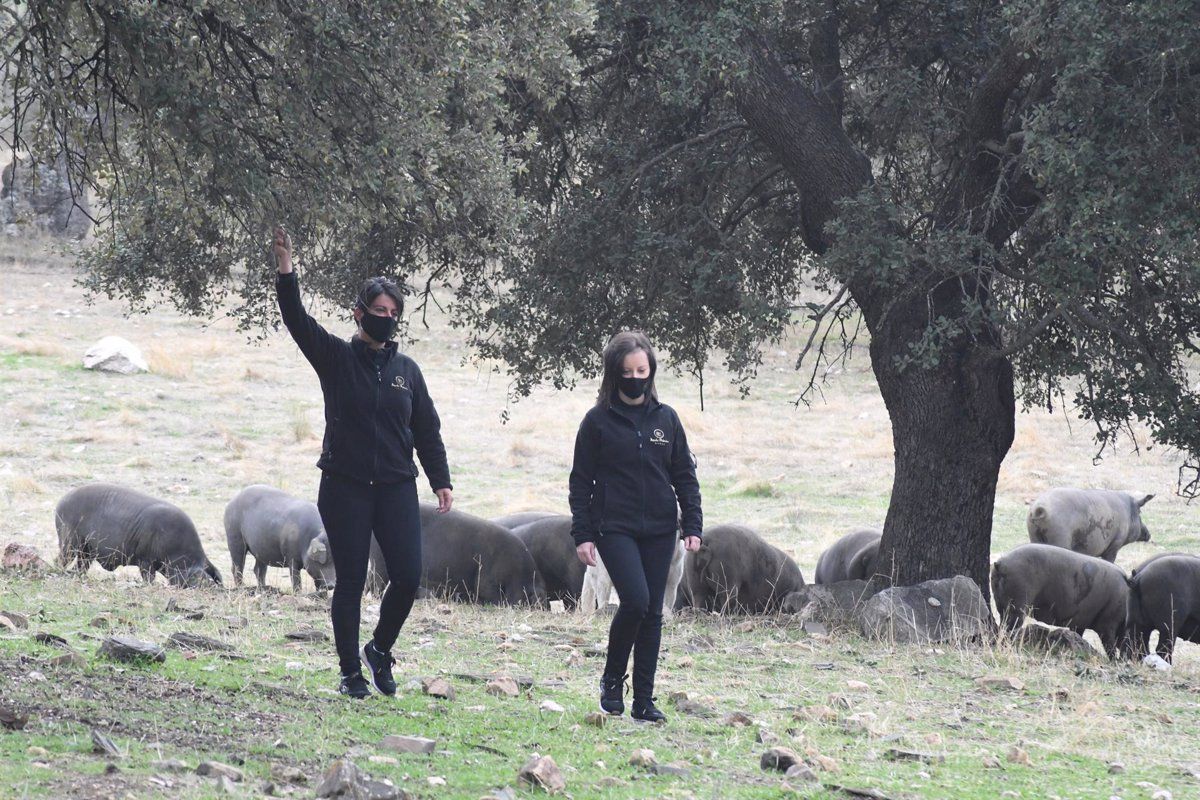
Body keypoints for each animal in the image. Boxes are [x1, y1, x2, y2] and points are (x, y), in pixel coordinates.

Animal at [54, 482, 224, 587]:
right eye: (197, 576)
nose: (211, 585)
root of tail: (60, 503)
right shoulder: (145, 560)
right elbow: (149, 577)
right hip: (69, 541)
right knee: (61, 560)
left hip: (87, 551)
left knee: (81, 566)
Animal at [988, 546, 1128, 662]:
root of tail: (1000, 564)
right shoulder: (1108, 624)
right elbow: (1109, 645)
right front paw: (1114, 662)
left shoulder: (1080, 624)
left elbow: (1080, 635)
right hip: (1018, 607)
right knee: (1010, 628)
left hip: (1002, 605)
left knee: (1003, 625)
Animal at [1022, 484, 1152, 561]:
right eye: (1140, 512)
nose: (1148, 534)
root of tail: (1039, 509)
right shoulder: (1115, 545)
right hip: (1060, 538)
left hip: (1033, 535)